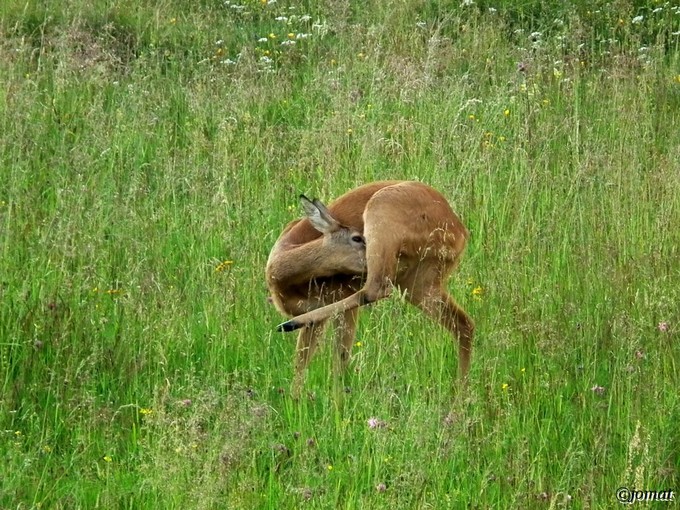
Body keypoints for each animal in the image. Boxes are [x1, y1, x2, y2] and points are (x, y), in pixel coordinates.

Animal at [266, 181, 472, 396]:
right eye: (357, 238)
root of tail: (459, 231)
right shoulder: (315, 321)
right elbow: (301, 362)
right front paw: (295, 399)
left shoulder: (340, 298)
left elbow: (339, 356)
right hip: (421, 281)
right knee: (464, 324)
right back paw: (461, 397)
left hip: (382, 215)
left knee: (374, 289)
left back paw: (287, 325)